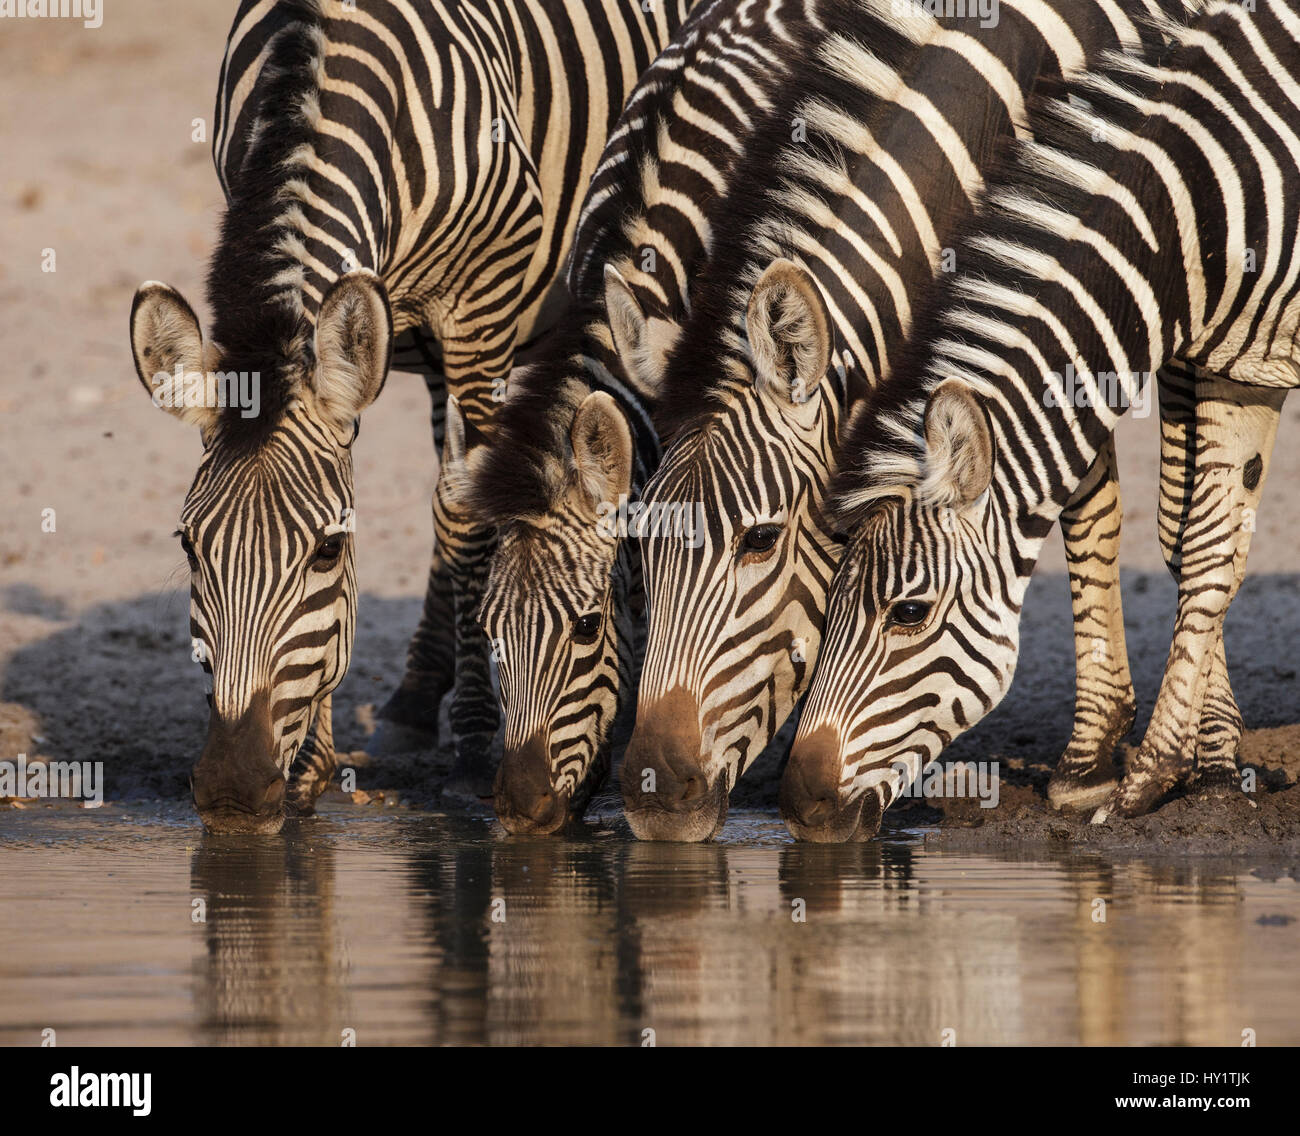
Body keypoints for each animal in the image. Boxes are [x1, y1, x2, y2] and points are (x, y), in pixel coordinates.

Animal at [126, 0, 696, 831]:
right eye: (189, 547)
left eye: (326, 551)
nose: (232, 790)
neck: (322, 55)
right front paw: (312, 763)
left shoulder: (481, 310)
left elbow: (468, 515)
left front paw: (476, 747)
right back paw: (417, 691)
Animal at [785, 0, 1300, 831]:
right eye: (824, 609)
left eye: (909, 612)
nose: (799, 804)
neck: (1203, 207)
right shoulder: (1240, 365)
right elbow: (1208, 549)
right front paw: (1161, 770)